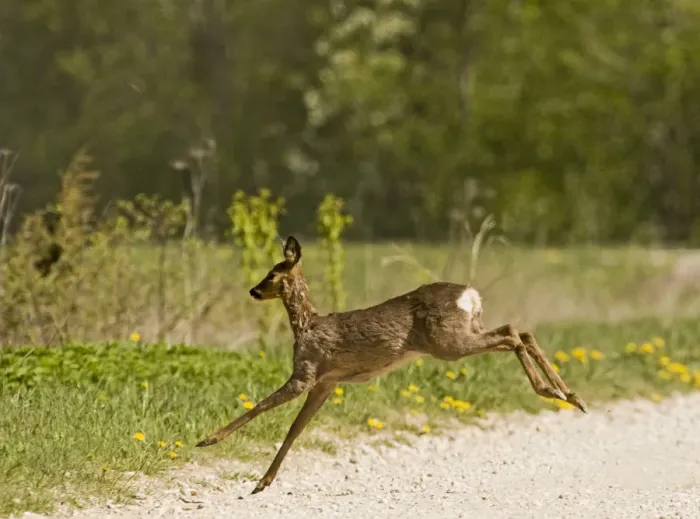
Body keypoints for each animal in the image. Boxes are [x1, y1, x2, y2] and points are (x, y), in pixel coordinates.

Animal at [196, 236, 588, 494]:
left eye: (274, 273)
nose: (253, 291)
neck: (306, 326)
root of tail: (470, 295)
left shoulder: (306, 373)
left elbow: (261, 405)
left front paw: (209, 439)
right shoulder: (326, 383)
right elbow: (295, 429)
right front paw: (263, 482)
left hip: (448, 343)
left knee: (512, 335)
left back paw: (552, 390)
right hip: (464, 332)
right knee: (518, 330)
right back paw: (571, 395)